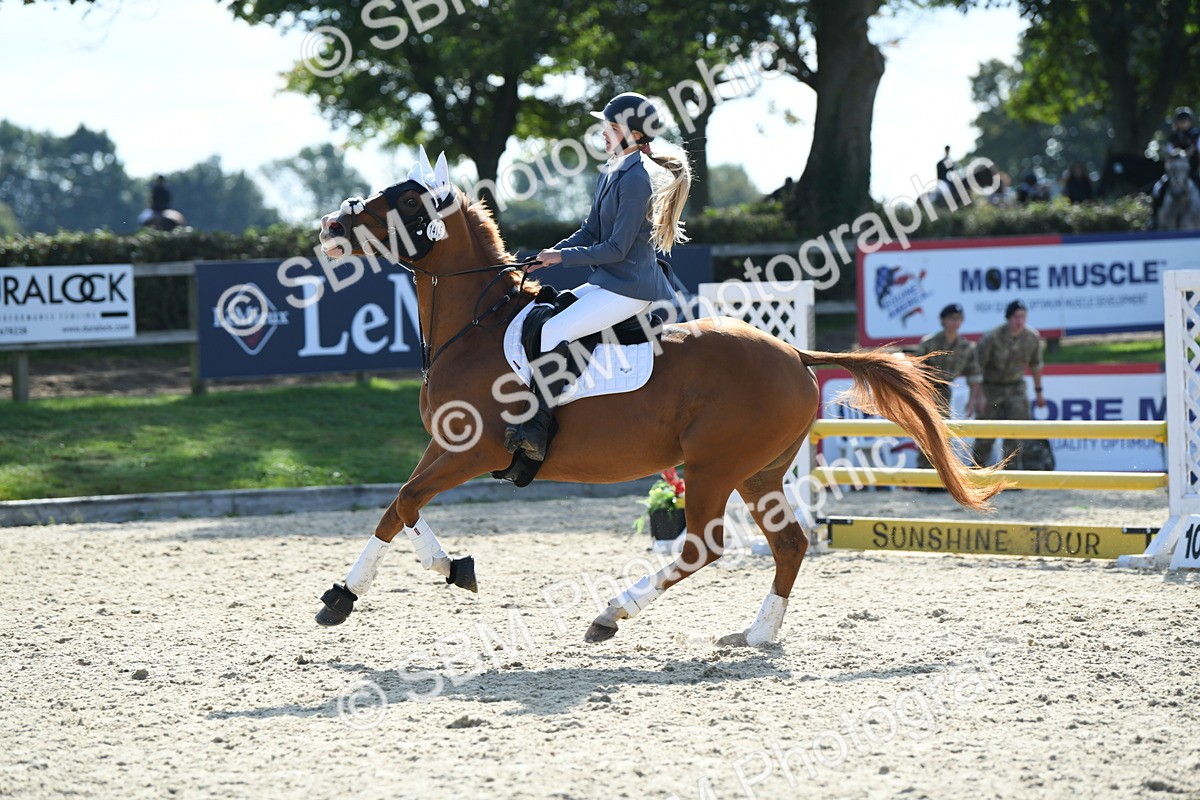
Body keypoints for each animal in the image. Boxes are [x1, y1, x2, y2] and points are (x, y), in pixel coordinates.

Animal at [310, 156, 1005, 645]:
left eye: (404, 200)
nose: (331, 227)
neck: (475, 328)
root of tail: (793, 354)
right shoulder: (445, 446)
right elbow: (399, 506)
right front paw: (393, 582)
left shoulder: (476, 451)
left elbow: (405, 502)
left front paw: (403, 580)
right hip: (758, 471)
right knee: (789, 544)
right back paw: (757, 633)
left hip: (712, 468)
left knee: (702, 547)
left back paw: (611, 614)